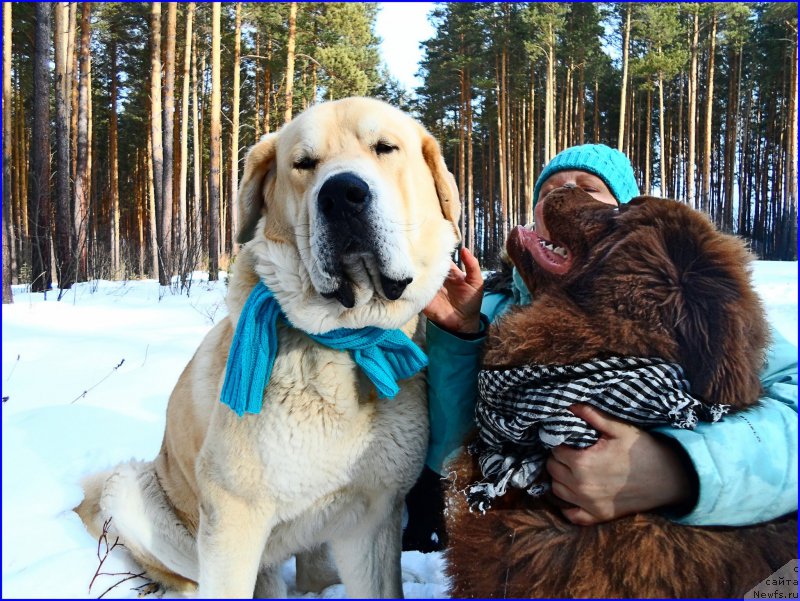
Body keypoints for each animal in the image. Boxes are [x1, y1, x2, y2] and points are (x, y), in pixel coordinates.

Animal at [79, 97, 462, 596]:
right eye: (303, 163)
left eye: (385, 148)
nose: (341, 195)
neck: (345, 340)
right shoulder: (232, 517)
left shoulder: (372, 515)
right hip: (130, 490)